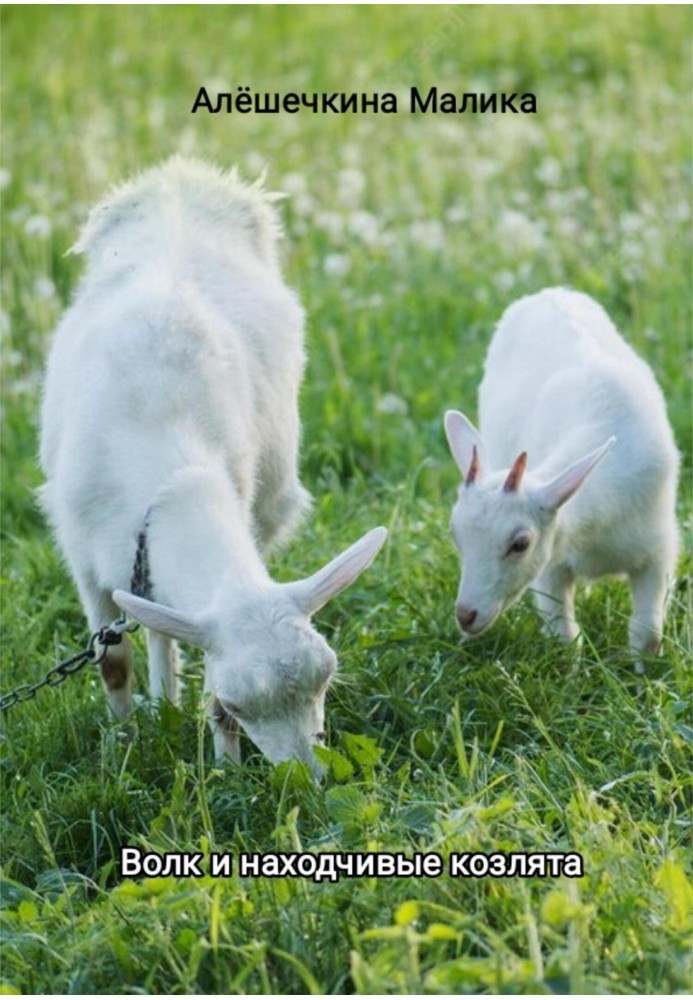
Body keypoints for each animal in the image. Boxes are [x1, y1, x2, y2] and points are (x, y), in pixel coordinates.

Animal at [40, 158, 386, 772]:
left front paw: (225, 769)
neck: (172, 477)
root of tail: (180, 173)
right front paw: (125, 745)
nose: (309, 778)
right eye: (243, 702)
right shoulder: (82, 556)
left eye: (326, 679)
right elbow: (113, 662)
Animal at [444, 286, 676, 668]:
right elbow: (565, 638)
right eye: (455, 535)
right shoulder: (552, 563)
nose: (466, 615)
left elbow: (647, 635)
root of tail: (547, 293)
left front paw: (644, 675)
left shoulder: (658, 548)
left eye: (520, 543)